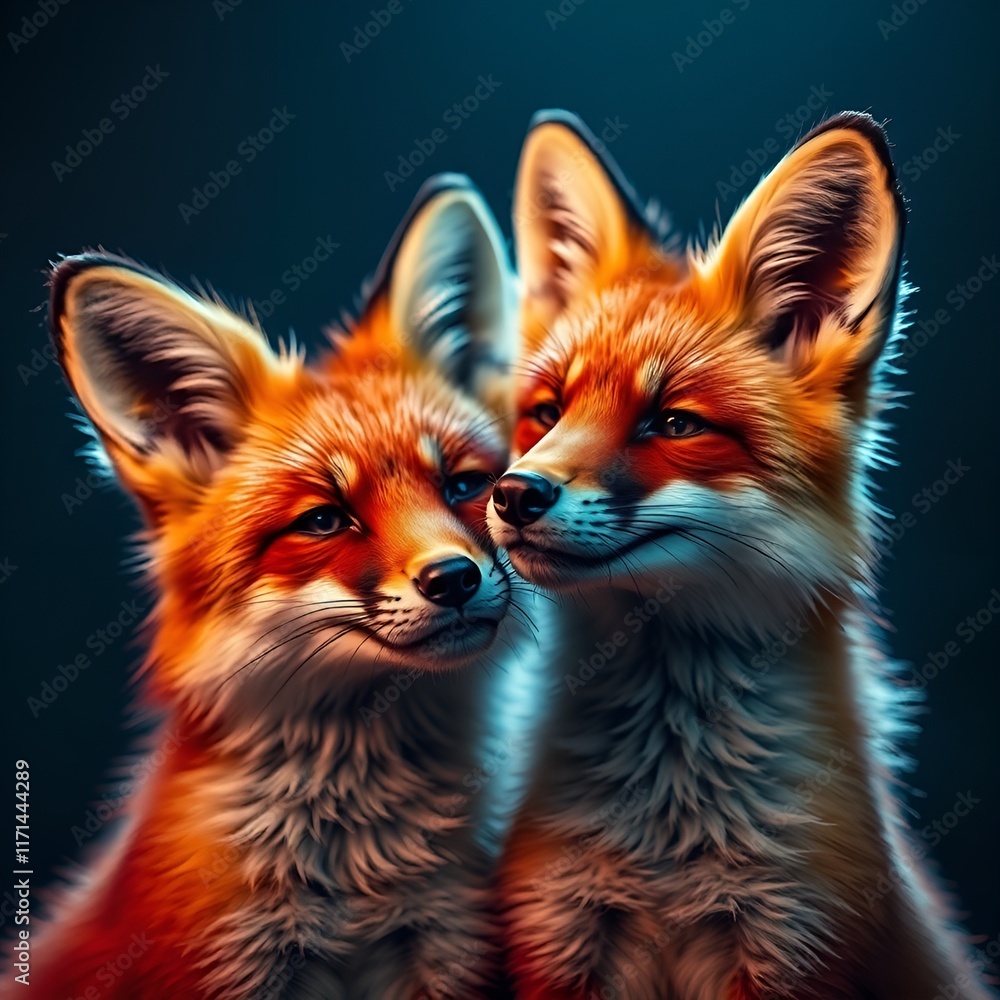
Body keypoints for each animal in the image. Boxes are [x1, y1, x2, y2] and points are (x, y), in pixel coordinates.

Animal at [487, 110, 996, 1000]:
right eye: (546, 412)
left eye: (674, 424)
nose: (514, 496)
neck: (669, 838)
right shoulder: (557, 930)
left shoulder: (798, 939)